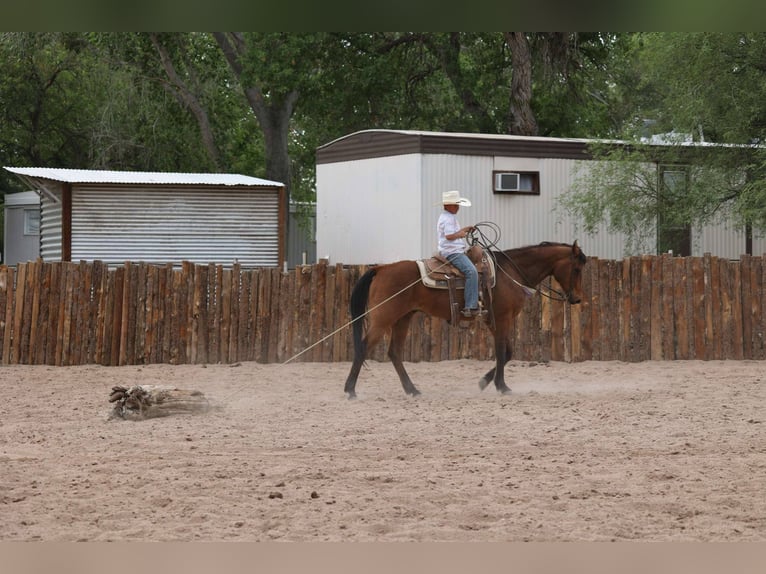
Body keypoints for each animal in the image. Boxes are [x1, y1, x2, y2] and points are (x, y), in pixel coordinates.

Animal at [343, 239, 587, 398]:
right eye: (576, 269)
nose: (576, 298)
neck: (511, 272)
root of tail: (381, 269)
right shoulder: (502, 318)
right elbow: (502, 352)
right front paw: (501, 386)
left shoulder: (493, 320)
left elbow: (507, 353)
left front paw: (484, 382)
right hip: (382, 318)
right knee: (364, 347)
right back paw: (350, 390)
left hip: (403, 318)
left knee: (394, 352)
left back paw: (412, 390)